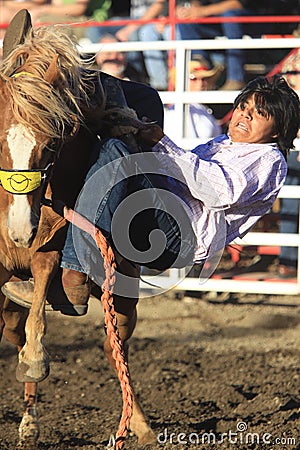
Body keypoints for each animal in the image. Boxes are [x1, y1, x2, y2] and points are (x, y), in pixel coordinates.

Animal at [0, 23, 155, 450]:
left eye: (51, 143)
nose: (19, 230)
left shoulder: (47, 248)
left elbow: (40, 300)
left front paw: (36, 359)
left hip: (124, 294)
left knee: (113, 344)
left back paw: (140, 426)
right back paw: (29, 421)